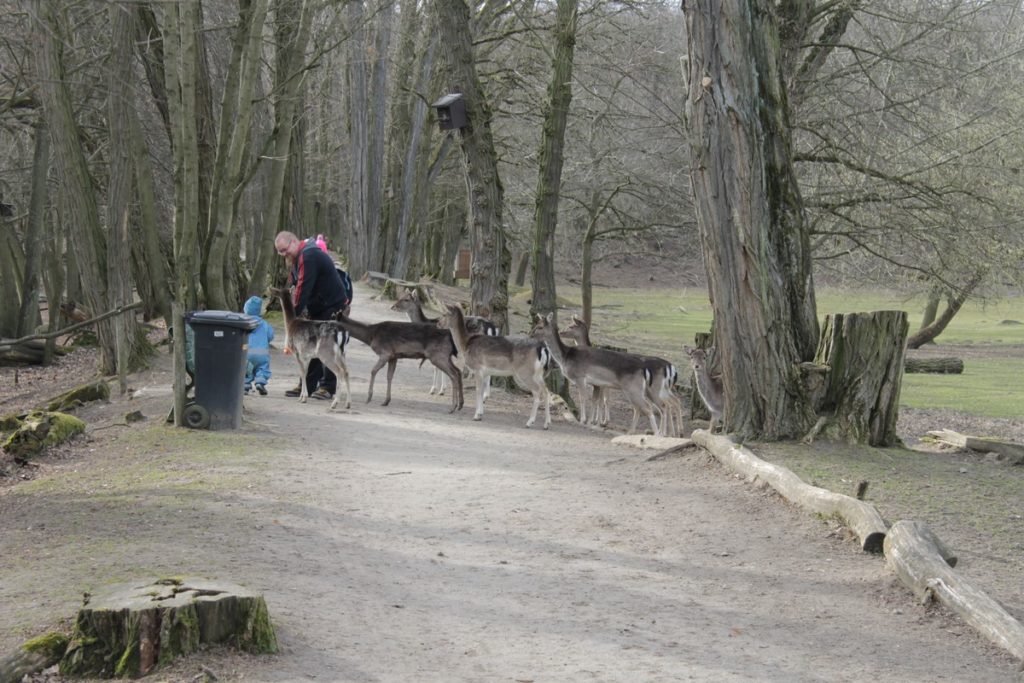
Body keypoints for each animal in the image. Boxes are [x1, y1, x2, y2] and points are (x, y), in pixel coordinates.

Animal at [329, 309, 462, 411]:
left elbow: (373, 371)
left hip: (438, 355)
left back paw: (453, 407)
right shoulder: (394, 356)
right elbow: (389, 376)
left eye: (331, 322)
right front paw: (386, 401)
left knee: (453, 374)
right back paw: (460, 405)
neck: (371, 336)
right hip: (445, 356)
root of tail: (451, 337)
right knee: (458, 371)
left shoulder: (385, 353)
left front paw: (369, 398)